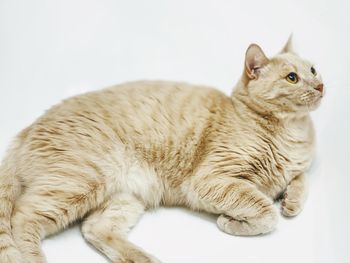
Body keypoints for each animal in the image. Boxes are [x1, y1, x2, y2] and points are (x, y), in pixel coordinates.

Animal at [0, 37, 322, 263]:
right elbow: (266, 212)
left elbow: (300, 180)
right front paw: (231, 223)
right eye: (292, 77)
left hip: (124, 197)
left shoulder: (294, 169)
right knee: (21, 218)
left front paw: (291, 201)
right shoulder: (210, 180)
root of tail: (24, 131)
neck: (293, 133)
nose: (320, 85)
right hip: (77, 181)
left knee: (94, 229)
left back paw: (142, 258)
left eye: (313, 69)